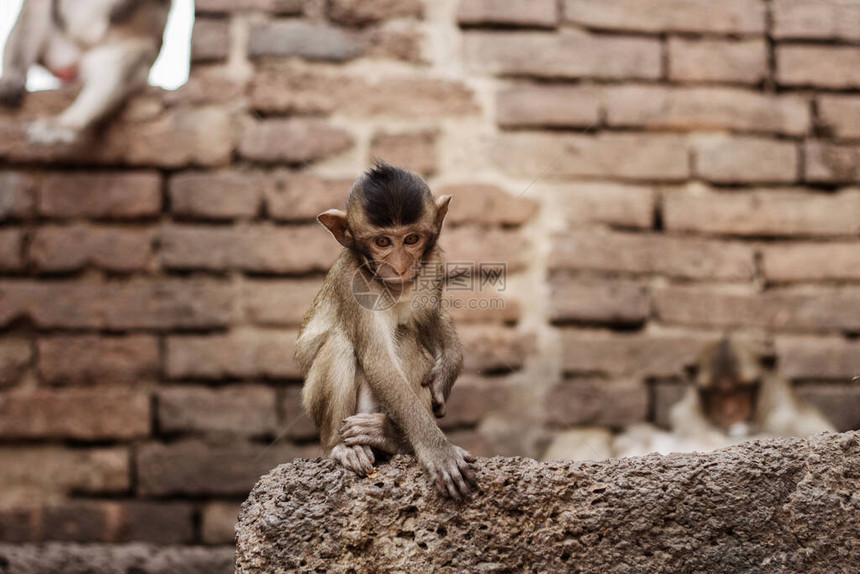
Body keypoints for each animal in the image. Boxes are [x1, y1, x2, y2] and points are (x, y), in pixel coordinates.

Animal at [0, 0, 171, 144]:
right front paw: (11, 79)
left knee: (135, 54)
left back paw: (66, 124)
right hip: (59, 47)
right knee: (37, 5)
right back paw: (12, 77)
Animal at [296, 162, 478, 500]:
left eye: (411, 239)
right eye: (382, 242)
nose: (399, 265)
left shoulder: (433, 264)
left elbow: (429, 317)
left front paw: (446, 372)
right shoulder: (352, 281)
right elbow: (379, 360)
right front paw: (438, 450)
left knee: (405, 336)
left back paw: (389, 437)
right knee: (341, 344)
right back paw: (341, 448)